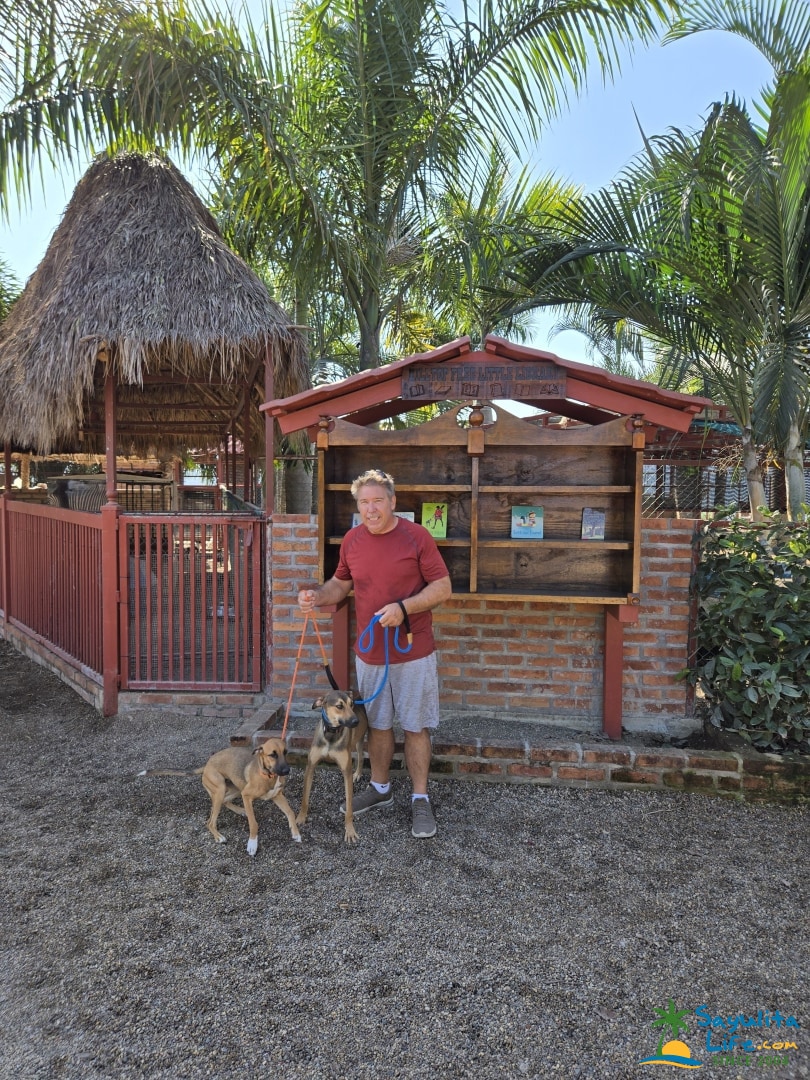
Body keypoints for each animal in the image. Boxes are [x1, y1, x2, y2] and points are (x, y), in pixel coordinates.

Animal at [139, 737, 300, 856]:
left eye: (285, 752)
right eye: (272, 754)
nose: (287, 771)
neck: (268, 775)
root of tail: (207, 764)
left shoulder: (276, 795)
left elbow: (290, 812)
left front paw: (296, 833)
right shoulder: (247, 795)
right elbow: (254, 823)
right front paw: (252, 844)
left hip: (235, 788)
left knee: (224, 803)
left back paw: (241, 811)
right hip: (222, 789)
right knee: (210, 821)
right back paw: (219, 837)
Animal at [295, 689, 367, 845]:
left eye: (351, 705)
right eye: (339, 706)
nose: (356, 721)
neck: (331, 734)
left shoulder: (346, 771)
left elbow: (349, 806)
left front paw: (350, 830)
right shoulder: (310, 766)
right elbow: (305, 798)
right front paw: (301, 817)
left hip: (362, 737)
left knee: (361, 755)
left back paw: (358, 773)